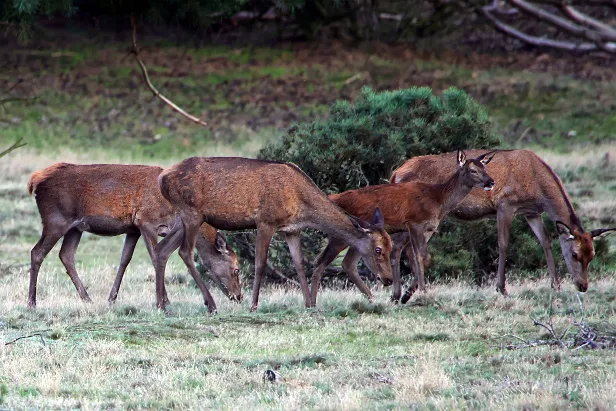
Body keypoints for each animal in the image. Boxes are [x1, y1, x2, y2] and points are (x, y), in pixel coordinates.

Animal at [27, 163, 242, 308]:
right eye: (236, 270)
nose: (238, 297)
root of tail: (35, 180)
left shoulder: (133, 229)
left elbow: (125, 259)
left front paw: (112, 298)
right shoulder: (146, 221)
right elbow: (155, 256)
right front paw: (165, 300)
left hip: (75, 228)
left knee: (66, 255)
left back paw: (87, 299)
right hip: (55, 220)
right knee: (37, 252)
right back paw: (31, 303)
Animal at [154, 156, 394, 314]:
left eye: (391, 247)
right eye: (378, 250)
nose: (389, 279)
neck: (301, 203)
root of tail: (162, 177)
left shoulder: (292, 229)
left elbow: (299, 263)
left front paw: (309, 304)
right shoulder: (266, 221)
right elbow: (260, 263)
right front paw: (253, 305)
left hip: (185, 218)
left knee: (162, 249)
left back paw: (161, 304)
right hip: (192, 213)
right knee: (185, 252)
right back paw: (211, 304)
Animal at [312, 151, 496, 306]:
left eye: (485, 167)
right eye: (473, 170)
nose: (491, 182)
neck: (438, 201)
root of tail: (333, 198)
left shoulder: (426, 229)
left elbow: (415, 257)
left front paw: (405, 294)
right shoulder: (415, 222)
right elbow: (421, 256)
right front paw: (420, 293)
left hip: (360, 238)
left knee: (347, 263)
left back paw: (372, 298)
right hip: (341, 234)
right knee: (322, 262)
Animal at [390, 150, 616, 298]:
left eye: (592, 255)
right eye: (574, 254)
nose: (583, 286)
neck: (537, 186)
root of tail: (395, 174)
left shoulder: (531, 212)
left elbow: (545, 241)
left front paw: (556, 285)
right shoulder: (506, 204)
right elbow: (503, 244)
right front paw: (501, 288)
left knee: (402, 247)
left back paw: (403, 292)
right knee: (406, 248)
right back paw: (407, 291)